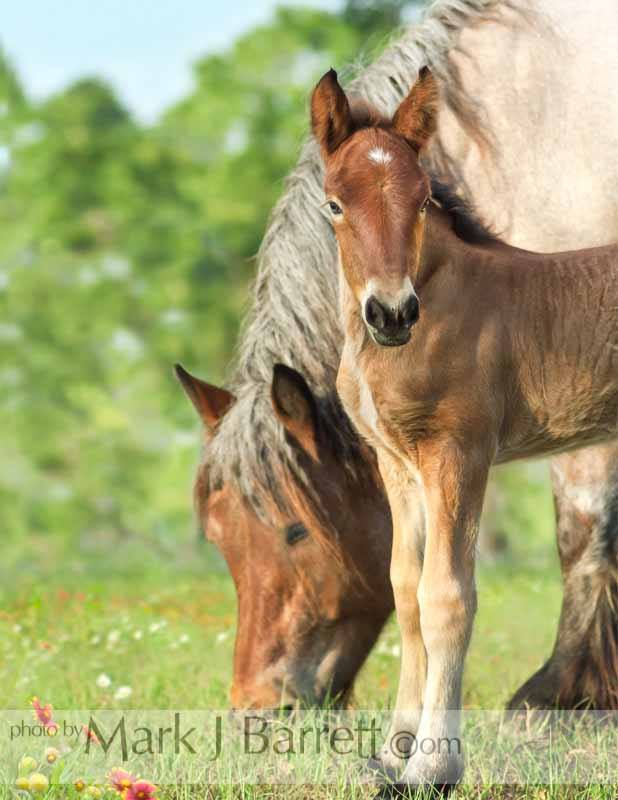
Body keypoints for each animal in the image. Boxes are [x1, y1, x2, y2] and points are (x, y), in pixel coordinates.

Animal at [310, 65, 616, 784]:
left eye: (422, 202)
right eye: (334, 205)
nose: (392, 313)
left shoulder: (459, 452)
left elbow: (447, 596)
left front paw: (432, 767)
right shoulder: (398, 464)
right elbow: (405, 588)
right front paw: (390, 753)